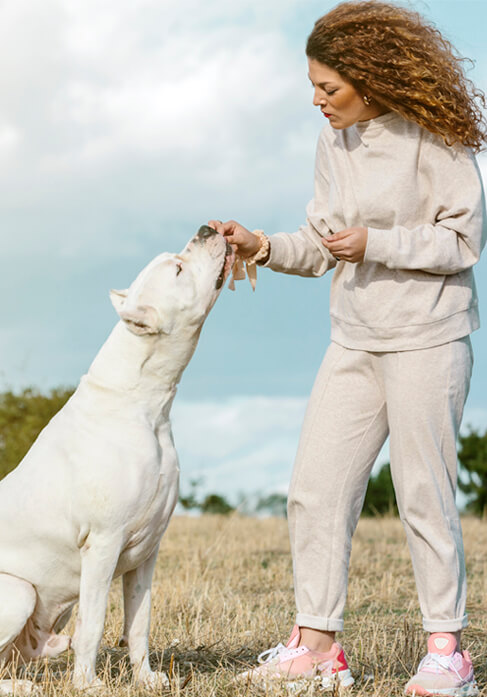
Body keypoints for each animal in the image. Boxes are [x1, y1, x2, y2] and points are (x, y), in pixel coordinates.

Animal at [0, 224, 234, 692]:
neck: (142, 403)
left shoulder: (147, 553)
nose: (206, 228)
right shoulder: (103, 545)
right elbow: (94, 623)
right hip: (18, 591)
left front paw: (147, 679)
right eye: (178, 269)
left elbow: (139, 622)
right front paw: (87, 685)